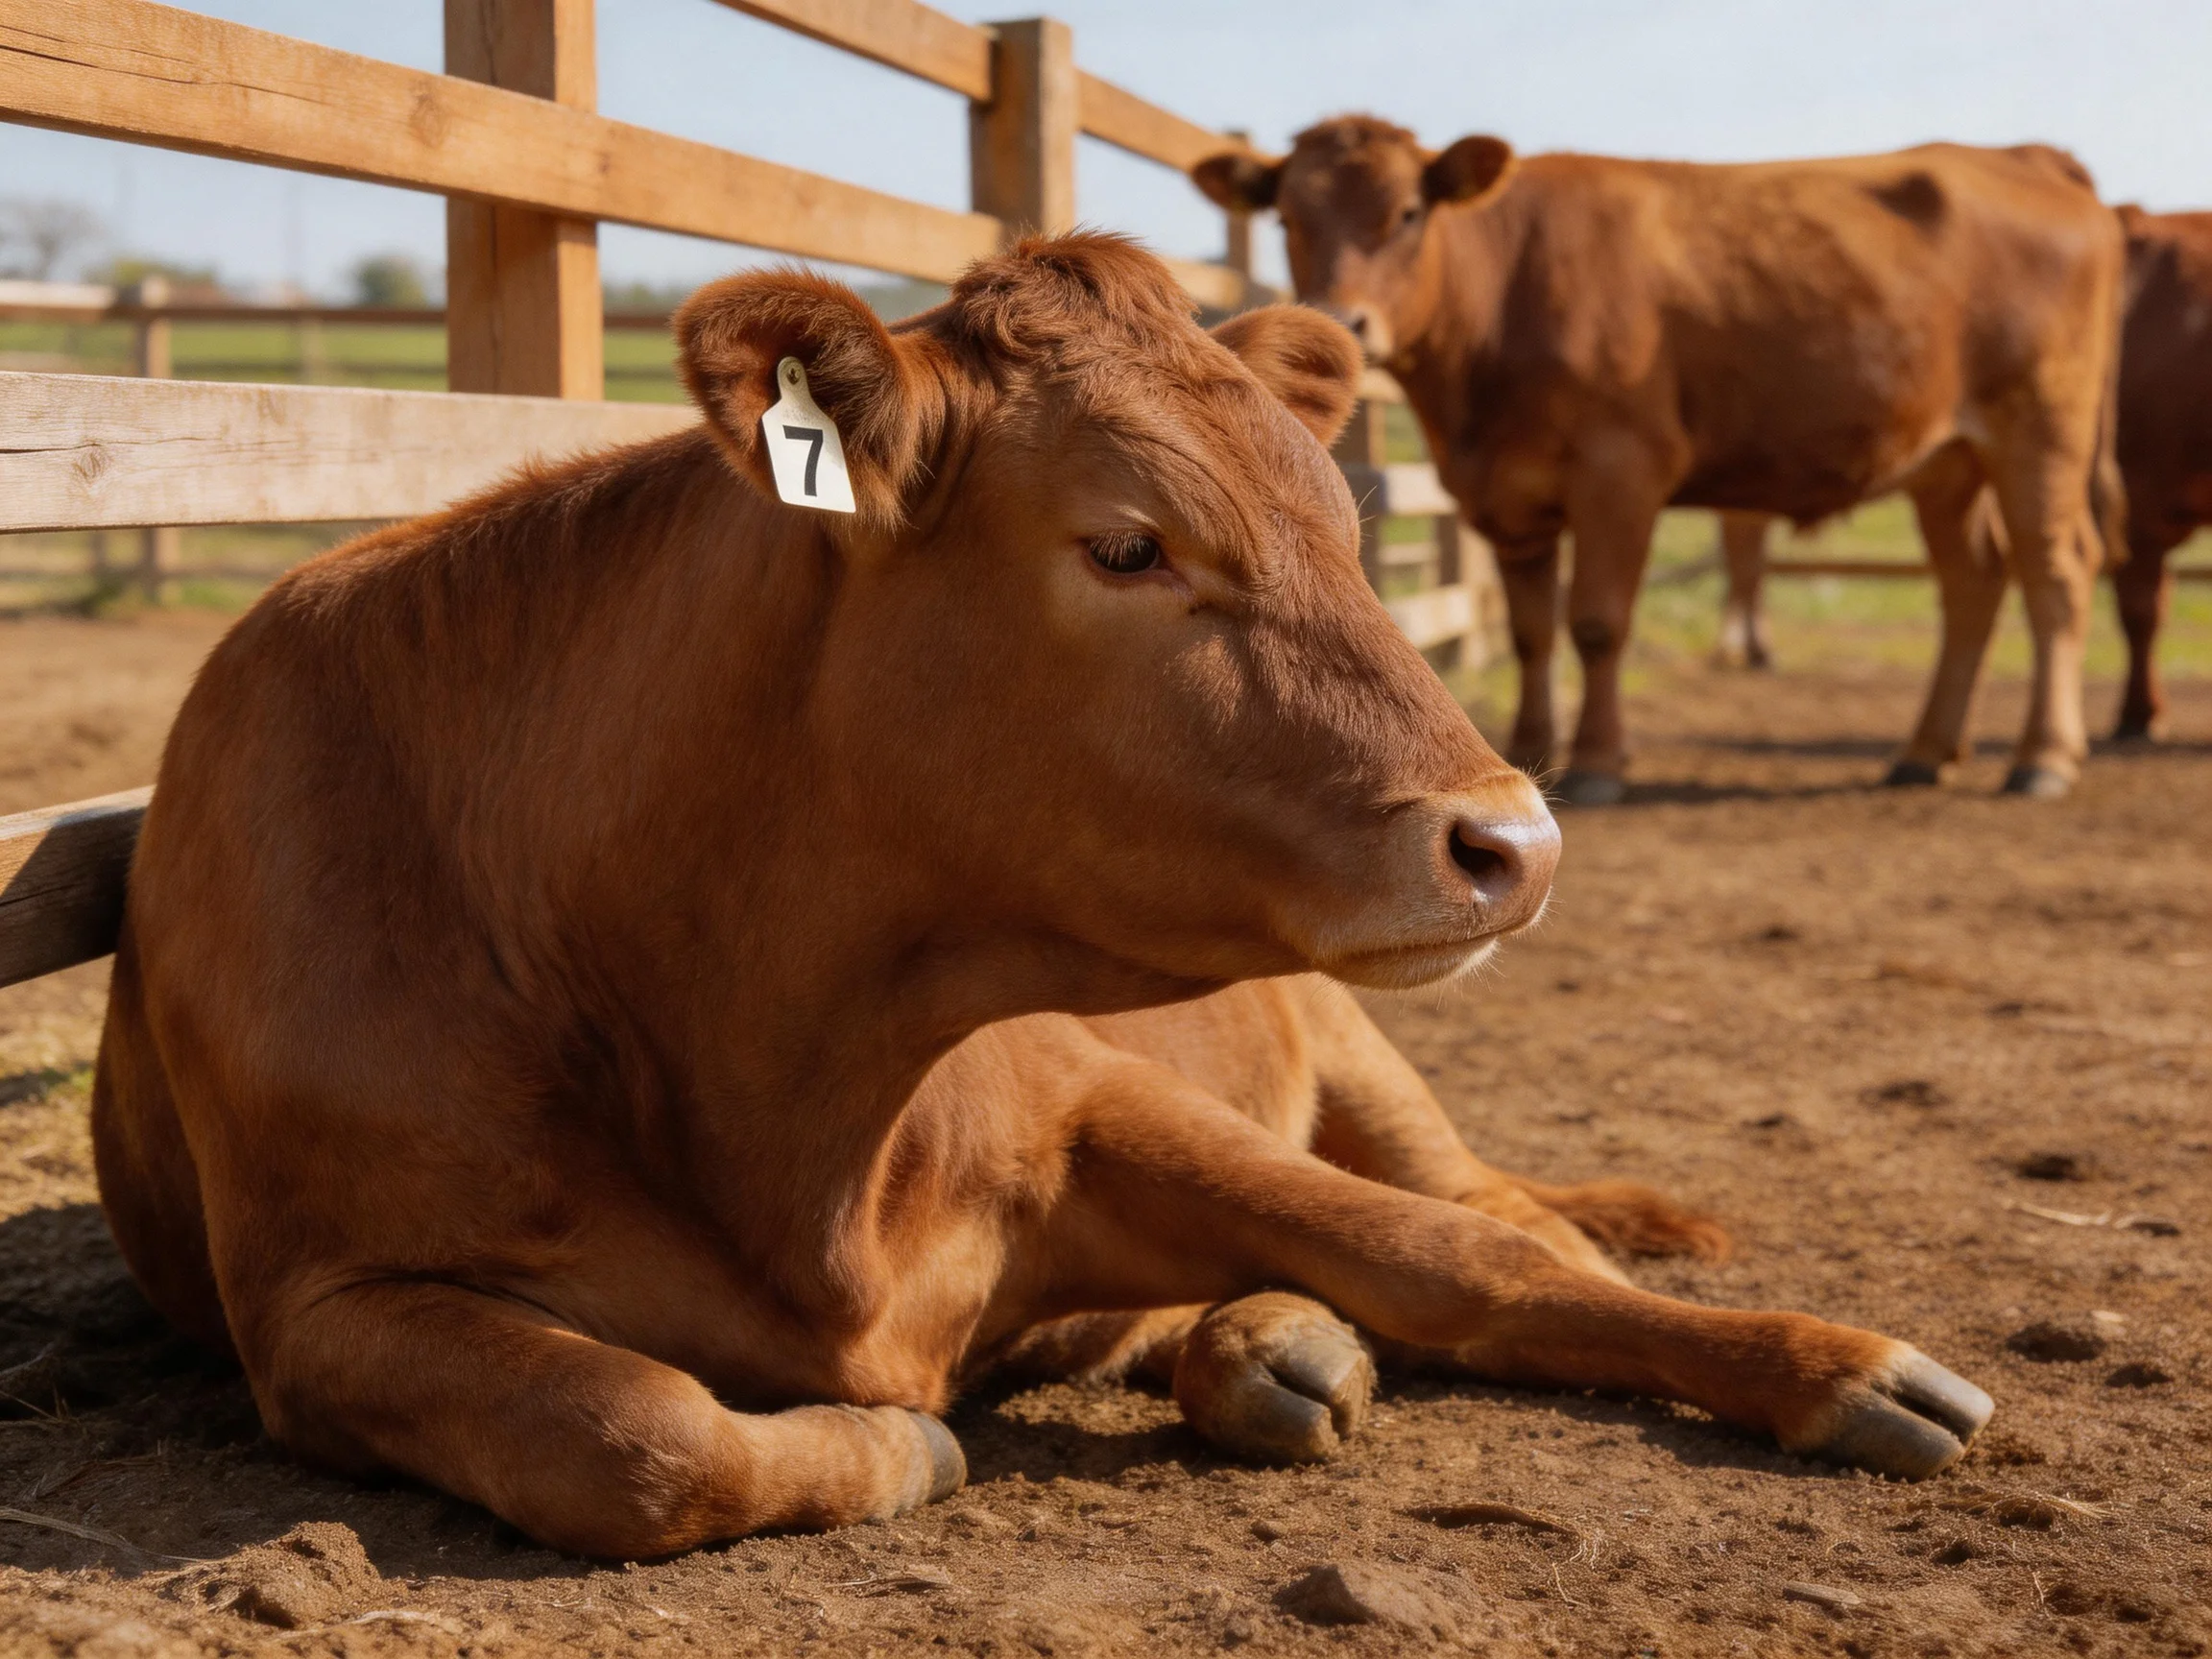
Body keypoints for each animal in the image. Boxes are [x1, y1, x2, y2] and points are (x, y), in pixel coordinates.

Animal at [92, 235, 1990, 1561]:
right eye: (1130, 542)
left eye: (1343, 523)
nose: (1510, 841)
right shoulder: (323, 1305)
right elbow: (638, 1431)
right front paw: (890, 1448)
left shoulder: (1091, 1088)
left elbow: (1457, 1254)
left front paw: (1830, 1364)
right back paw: (1269, 1344)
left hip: (1358, 1044)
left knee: (1494, 1205)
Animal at [1194, 119, 2127, 802]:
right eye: (1286, 218)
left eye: (1409, 214)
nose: (1341, 320)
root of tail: (2026, 157)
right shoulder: (1509, 496)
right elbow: (1532, 631)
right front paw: (1532, 751)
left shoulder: (1621, 471)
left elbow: (1597, 622)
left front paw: (1599, 763)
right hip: (1947, 461)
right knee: (1973, 583)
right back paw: (1926, 750)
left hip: (2041, 427)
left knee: (2055, 573)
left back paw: (2043, 758)